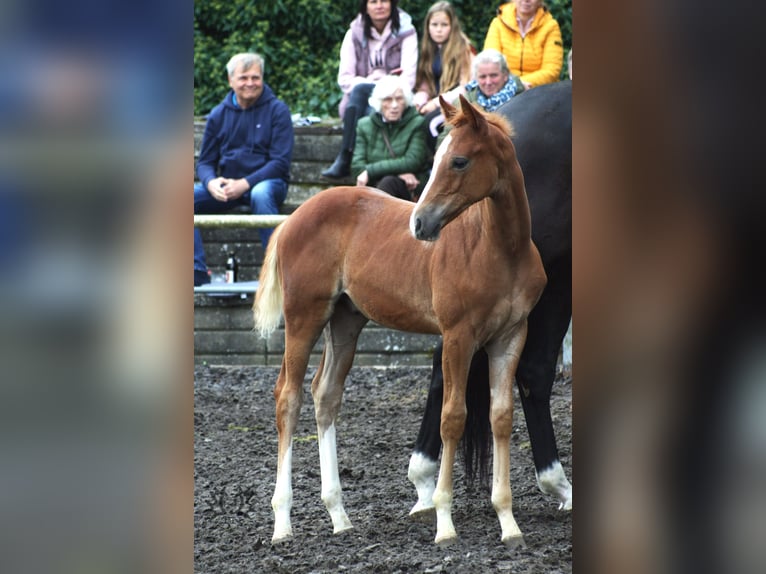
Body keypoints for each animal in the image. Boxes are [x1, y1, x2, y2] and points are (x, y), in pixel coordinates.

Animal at [255, 95, 548, 548]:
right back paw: (282, 522)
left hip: (346, 321)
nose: (419, 224)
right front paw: (444, 521)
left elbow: (501, 417)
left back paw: (339, 515)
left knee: (326, 394)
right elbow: (453, 417)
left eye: (459, 161)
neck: (501, 250)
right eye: (439, 157)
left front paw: (508, 521)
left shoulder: (511, 336)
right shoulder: (457, 336)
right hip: (304, 316)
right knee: (288, 396)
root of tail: (292, 218)